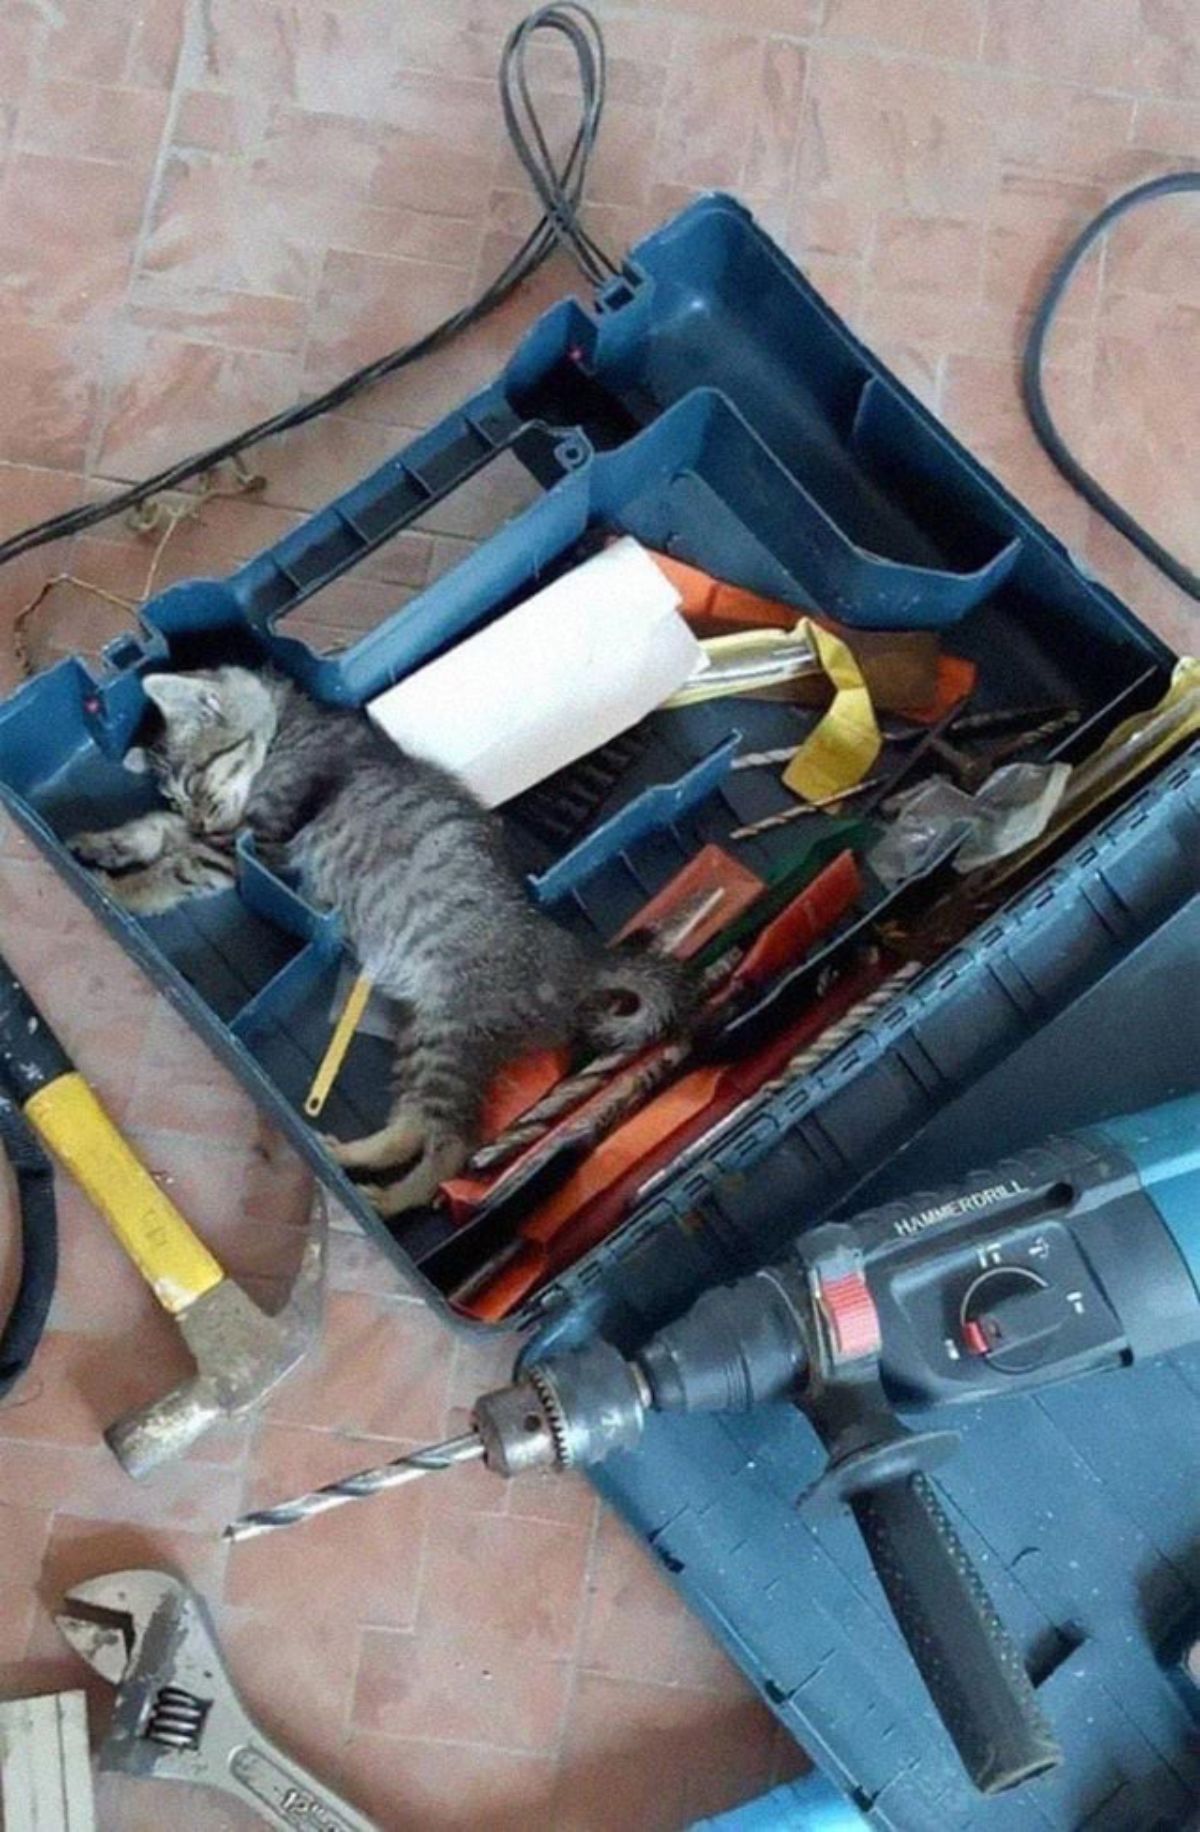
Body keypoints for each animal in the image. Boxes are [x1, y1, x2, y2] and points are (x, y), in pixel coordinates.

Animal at [72, 666, 696, 1209]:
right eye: (177, 795)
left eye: (196, 782)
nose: (199, 817)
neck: (290, 726)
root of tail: (576, 957)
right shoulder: (223, 835)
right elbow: (153, 830)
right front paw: (101, 845)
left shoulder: (245, 843)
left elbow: (173, 867)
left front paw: (121, 891)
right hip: (422, 1037)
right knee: (412, 1126)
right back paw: (349, 1157)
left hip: (451, 1033)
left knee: (451, 1146)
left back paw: (392, 1198)